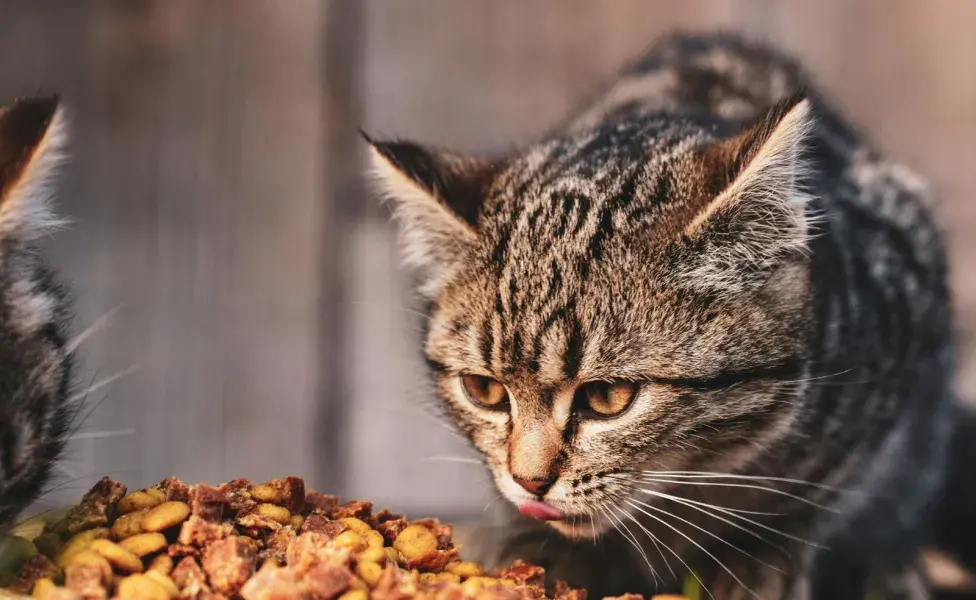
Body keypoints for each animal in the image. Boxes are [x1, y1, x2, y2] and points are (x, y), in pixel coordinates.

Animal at [364, 34, 976, 600]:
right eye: (484, 391)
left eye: (608, 397)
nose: (529, 483)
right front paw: (529, 548)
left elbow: (818, 502)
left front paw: (757, 560)